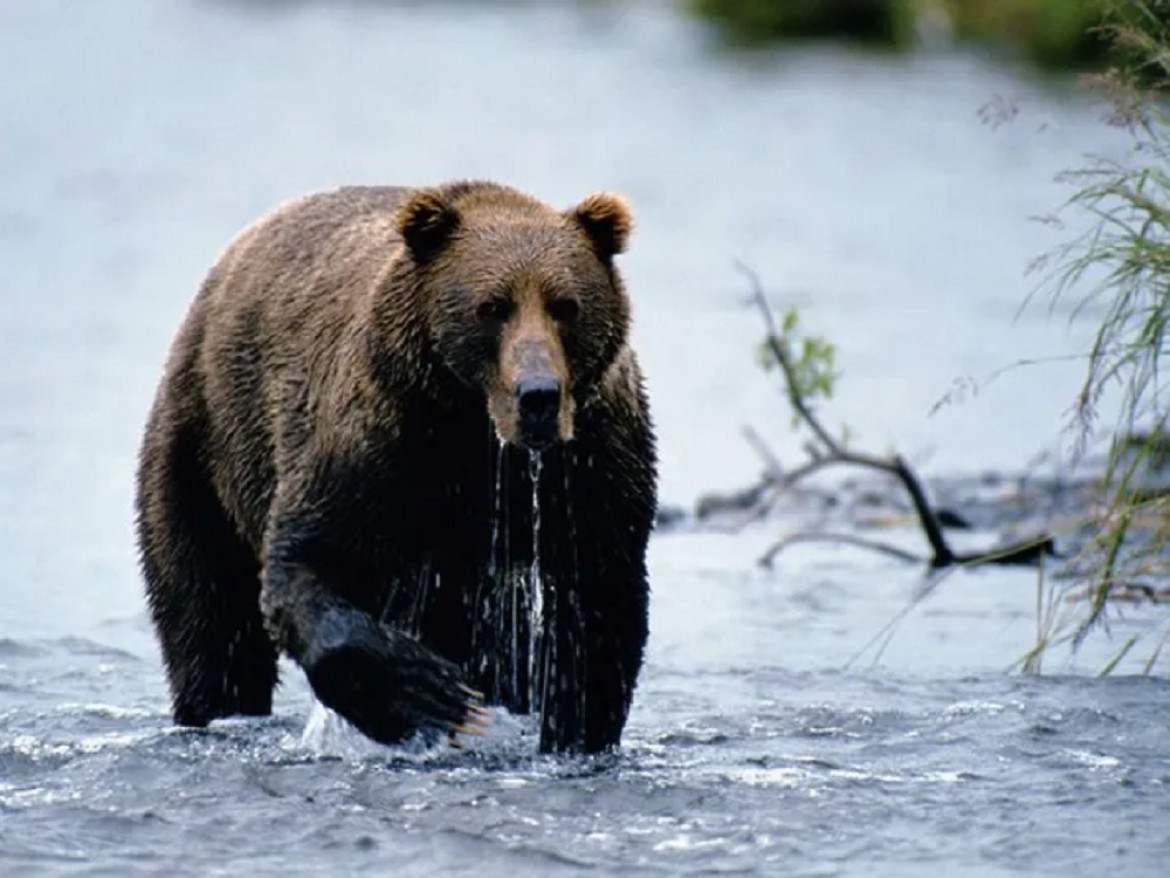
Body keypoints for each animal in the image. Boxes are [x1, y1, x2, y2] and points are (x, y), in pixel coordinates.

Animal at [136, 180, 659, 758]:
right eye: (492, 306)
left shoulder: (591, 464)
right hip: (202, 442)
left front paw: (572, 732)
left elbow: (597, 609)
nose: (538, 395)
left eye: (566, 305)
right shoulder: (378, 445)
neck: (476, 436)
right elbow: (307, 561)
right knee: (209, 615)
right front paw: (433, 695)